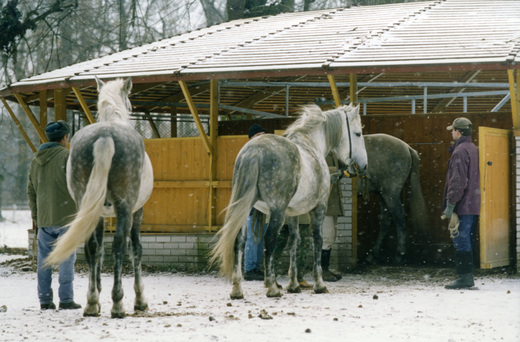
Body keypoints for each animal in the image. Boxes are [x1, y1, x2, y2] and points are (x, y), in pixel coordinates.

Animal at [45, 77, 152, 318]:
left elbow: (99, 250)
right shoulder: (137, 211)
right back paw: (117, 304)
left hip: (86, 205)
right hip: (125, 207)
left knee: (91, 247)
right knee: (120, 245)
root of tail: (105, 136)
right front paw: (140, 300)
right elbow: (136, 249)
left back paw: (92, 304)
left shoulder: (99, 214)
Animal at [209, 103, 368, 300]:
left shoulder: (293, 213)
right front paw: (319, 284)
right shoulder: (319, 208)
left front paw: (293, 285)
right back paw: (272, 287)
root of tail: (255, 151)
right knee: (269, 240)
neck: (311, 144)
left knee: (239, 241)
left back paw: (237, 289)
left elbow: (294, 241)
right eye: (358, 133)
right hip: (276, 211)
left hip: (246, 208)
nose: (363, 165)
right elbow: (317, 240)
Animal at [360, 134, 428, 264]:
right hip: (383, 195)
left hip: (390, 194)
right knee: (386, 222)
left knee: (400, 218)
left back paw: (399, 255)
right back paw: (373, 254)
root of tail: (407, 147)